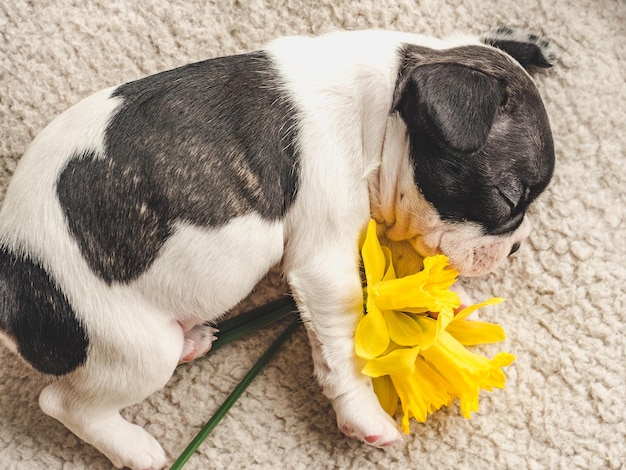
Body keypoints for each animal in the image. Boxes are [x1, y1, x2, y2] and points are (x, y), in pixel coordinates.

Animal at [1, 27, 556, 468]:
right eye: (510, 199)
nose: (517, 247)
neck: (379, 102)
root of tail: (10, 284)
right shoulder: (324, 263)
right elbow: (343, 340)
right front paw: (362, 415)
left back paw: (192, 341)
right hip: (131, 348)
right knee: (64, 402)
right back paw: (135, 449)